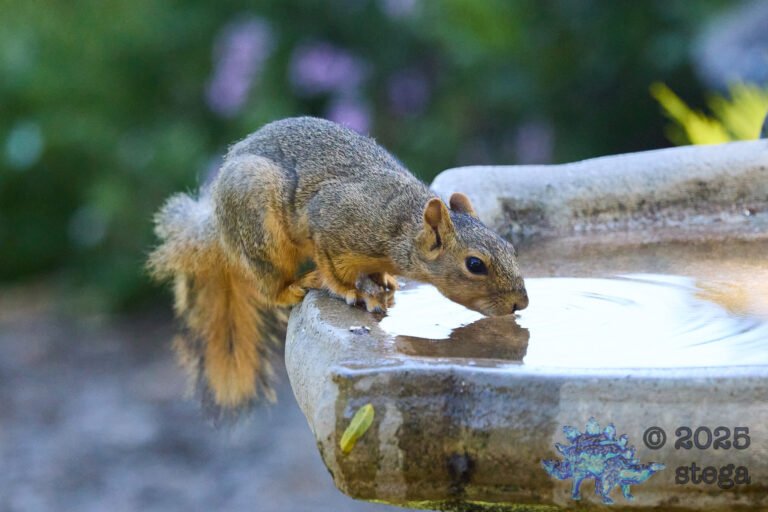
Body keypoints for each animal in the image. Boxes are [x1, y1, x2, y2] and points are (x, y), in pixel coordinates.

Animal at [148, 116, 528, 419]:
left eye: (511, 248)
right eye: (475, 264)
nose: (520, 303)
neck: (401, 223)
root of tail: (218, 218)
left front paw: (383, 281)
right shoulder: (331, 222)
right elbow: (333, 266)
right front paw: (353, 291)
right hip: (258, 222)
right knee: (269, 285)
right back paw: (293, 286)